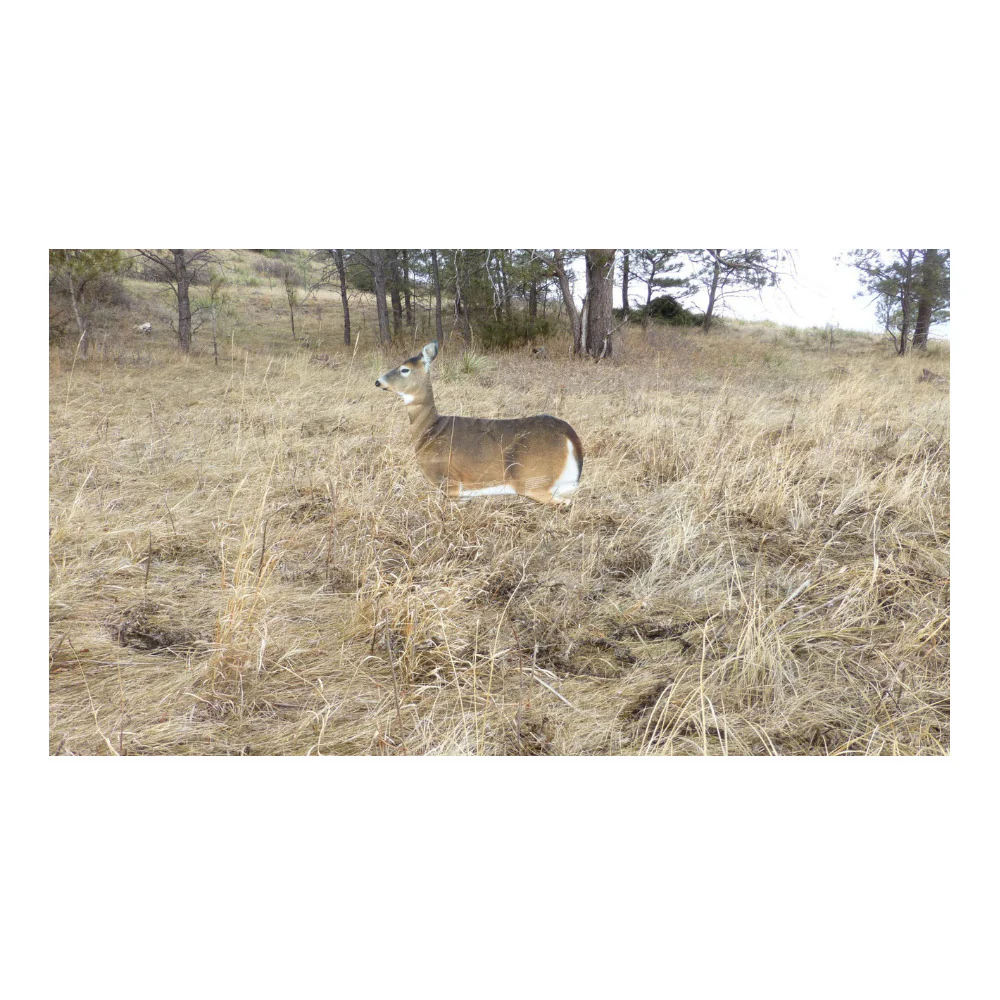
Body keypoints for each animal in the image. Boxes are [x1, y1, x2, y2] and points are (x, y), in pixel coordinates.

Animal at [374, 341, 583, 506]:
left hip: (532, 478)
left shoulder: (448, 482)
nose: (378, 382)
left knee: (563, 502)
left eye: (404, 369)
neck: (430, 430)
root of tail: (570, 436)